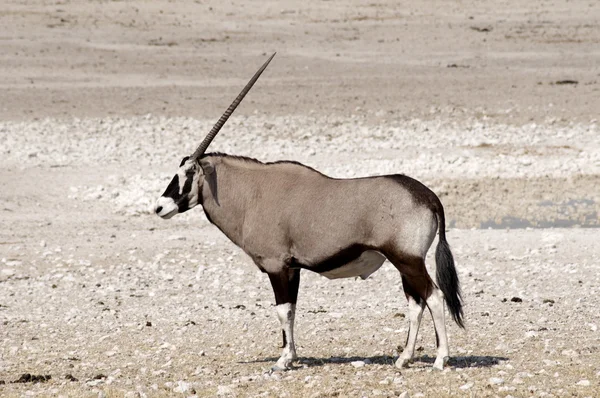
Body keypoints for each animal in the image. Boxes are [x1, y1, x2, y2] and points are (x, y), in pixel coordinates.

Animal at [155, 52, 464, 370]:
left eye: (188, 172)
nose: (160, 206)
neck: (252, 193)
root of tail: (428, 196)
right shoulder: (292, 268)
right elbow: (291, 309)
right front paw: (291, 356)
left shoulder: (277, 265)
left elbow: (282, 310)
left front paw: (283, 360)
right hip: (403, 263)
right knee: (416, 303)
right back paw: (403, 358)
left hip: (408, 260)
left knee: (434, 296)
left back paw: (441, 358)